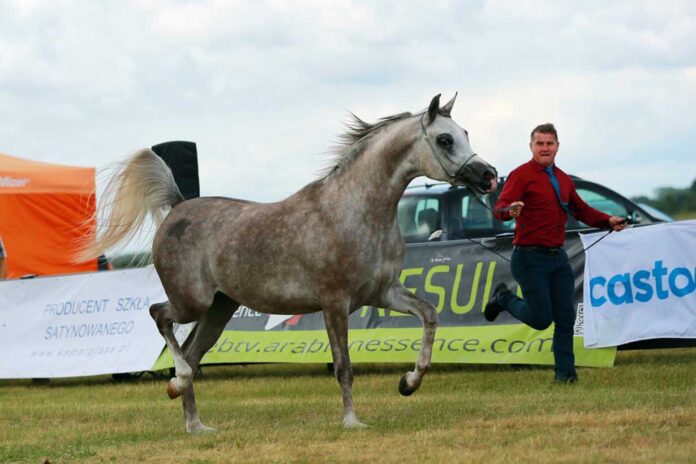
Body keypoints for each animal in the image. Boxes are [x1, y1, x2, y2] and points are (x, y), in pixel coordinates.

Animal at [84, 93, 498, 433]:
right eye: (445, 140)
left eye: (463, 132)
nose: (488, 176)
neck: (355, 211)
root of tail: (177, 208)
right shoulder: (335, 303)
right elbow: (344, 366)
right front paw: (352, 421)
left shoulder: (383, 294)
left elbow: (429, 315)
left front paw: (408, 383)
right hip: (192, 302)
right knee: (160, 318)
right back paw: (179, 384)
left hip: (218, 311)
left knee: (190, 352)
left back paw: (195, 424)